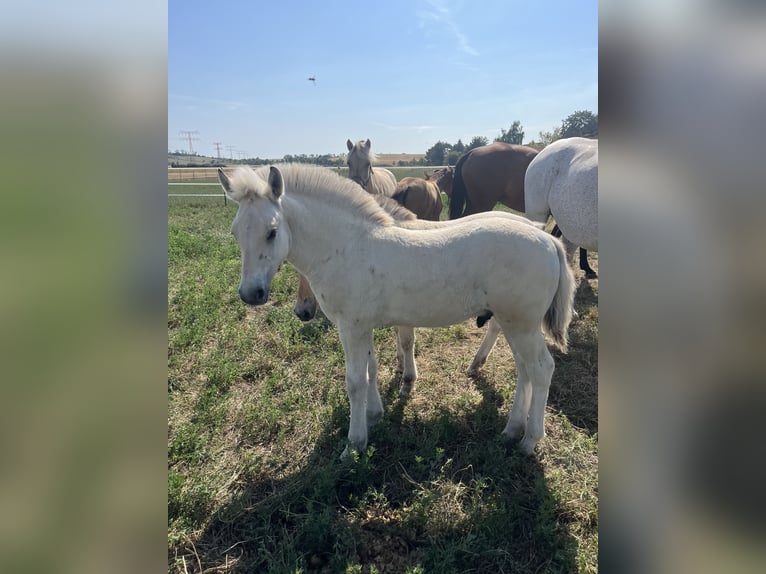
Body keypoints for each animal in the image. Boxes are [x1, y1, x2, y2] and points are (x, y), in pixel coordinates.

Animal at [219, 165, 572, 460]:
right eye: (235, 232)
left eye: (272, 231)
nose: (250, 293)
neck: (346, 247)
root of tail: (547, 240)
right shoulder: (364, 326)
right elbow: (372, 369)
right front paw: (374, 416)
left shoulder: (351, 327)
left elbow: (355, 381)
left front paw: (354, 445)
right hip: (515, 324)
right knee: (525, 370)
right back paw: (511, 430)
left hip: (522, 325)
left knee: (542, 369)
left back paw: (529, 441)